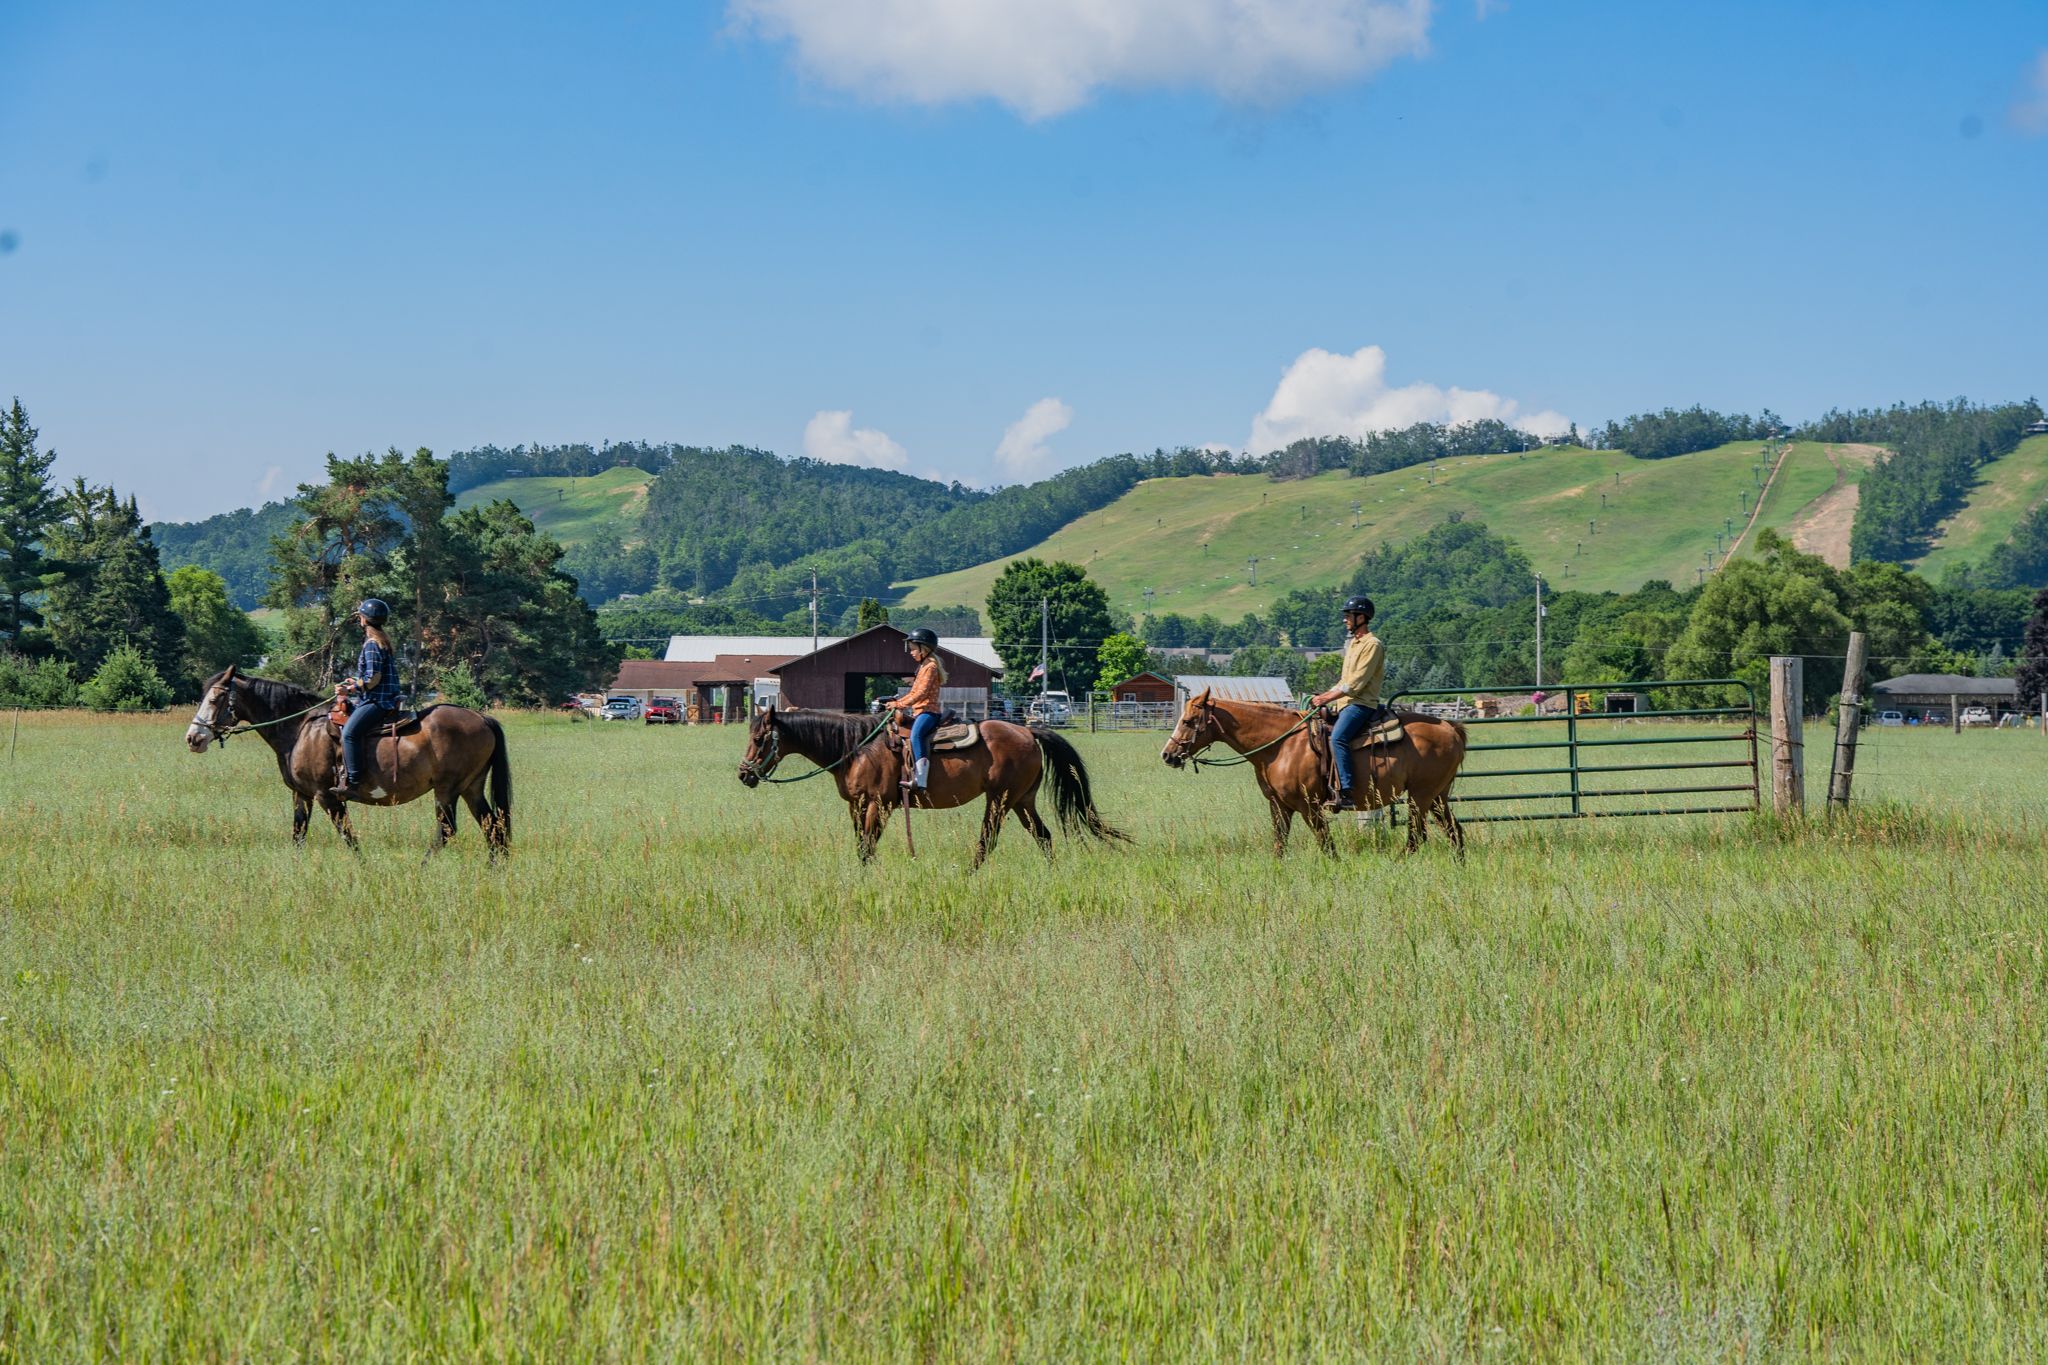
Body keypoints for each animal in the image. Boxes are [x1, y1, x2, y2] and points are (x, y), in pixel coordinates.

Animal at [184, 664, 513, 858]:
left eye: (214, 699)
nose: (193, 738)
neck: (300, 728)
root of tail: (482, 718)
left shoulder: (327, 796)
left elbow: (349, 838)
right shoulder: (301, 794)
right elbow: (298, 834)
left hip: (447, 789)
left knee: (449, 830)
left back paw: (423, 866)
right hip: (471, 787)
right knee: (493, 828)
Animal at [737, 705, 1128, 866]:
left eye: (758, 739)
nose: (744, 774)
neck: (857, 748)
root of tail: (1029, 732)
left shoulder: (879, 804)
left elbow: (869, 846)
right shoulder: (856, 805)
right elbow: (861, 846)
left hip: (1000, 799)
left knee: (987, 840)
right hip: (1022, 800)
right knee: (1043, 836)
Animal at [1160, 689, 1467, 856]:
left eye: (1188, 720)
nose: (1167, 754)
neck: (1281, 745)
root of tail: (1449, 727)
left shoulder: (1309, 806)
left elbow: (1326, 844)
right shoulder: (1279, 805)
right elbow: (1279, 845)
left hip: (1421, 796)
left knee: (1417, 837)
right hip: (1437, 796)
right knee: (1454, 831)